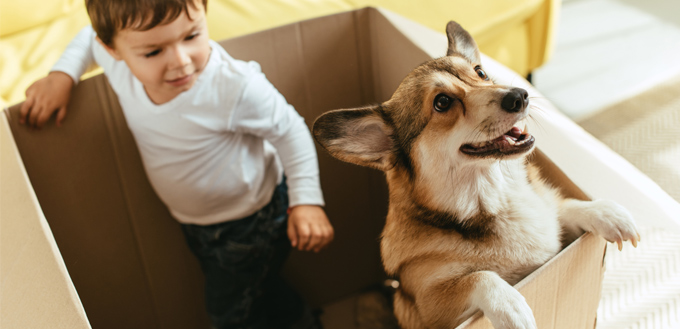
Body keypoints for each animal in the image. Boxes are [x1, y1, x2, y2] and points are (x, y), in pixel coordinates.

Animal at [310, 21, 640, 328]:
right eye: (442, 102)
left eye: (480, 73)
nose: (520, 95)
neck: (492, 198)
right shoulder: (432, 305)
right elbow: (478, 277)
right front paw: (511, 305)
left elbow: (564, 207)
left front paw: (607, 213)